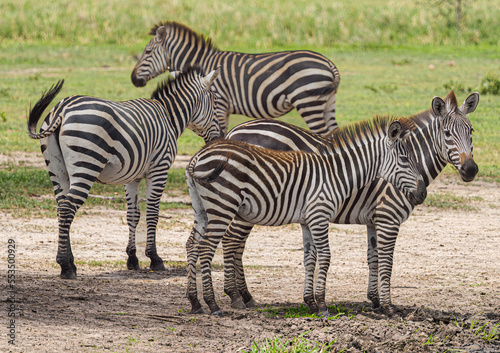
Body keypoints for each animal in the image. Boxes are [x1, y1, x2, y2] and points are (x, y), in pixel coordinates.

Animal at [26, 66, 221, 280]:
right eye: (214, 101)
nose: (218, 137)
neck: (168, 117)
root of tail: (62, 108)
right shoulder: (159, 168)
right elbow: (152, 213)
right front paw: (155, 258)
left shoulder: (132, 176)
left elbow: (133, 214)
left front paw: (132, 258)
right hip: (86, 164)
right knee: (68, 208)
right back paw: (66, 266)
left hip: (56, 169)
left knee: (61, 208)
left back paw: (69, 263)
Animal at [130, 21, 340, 135]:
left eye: (147, 52)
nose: (133, 79)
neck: (202, 63)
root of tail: (329, 63)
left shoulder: (220, 103)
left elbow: (220, 134)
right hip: (327, 103)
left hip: (308, 102)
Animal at [184, 116, 426, 316]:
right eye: (405, 159)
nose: (422, 193)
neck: (336, 174)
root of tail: (197, 157)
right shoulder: (320, 215)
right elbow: (326, 257)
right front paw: (323, 305)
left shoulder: (307, 221)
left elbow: (310, 257)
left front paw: (310, 302)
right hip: (223, 206)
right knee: (207, 248)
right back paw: (213, 304)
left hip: (202, 210)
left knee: (192, 244)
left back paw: (195, 302)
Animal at [225, 90, 478, 314]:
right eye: (447, 133)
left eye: (472, 131)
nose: (471, 170)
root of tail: (234, 131)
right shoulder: (388, 217)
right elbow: (387, 261)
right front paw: (387, 306)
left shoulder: (373, 220)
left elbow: (373, 258)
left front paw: (374, 300)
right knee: (232, 242)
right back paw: (236, 296)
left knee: (237, 245)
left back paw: (245, 296)